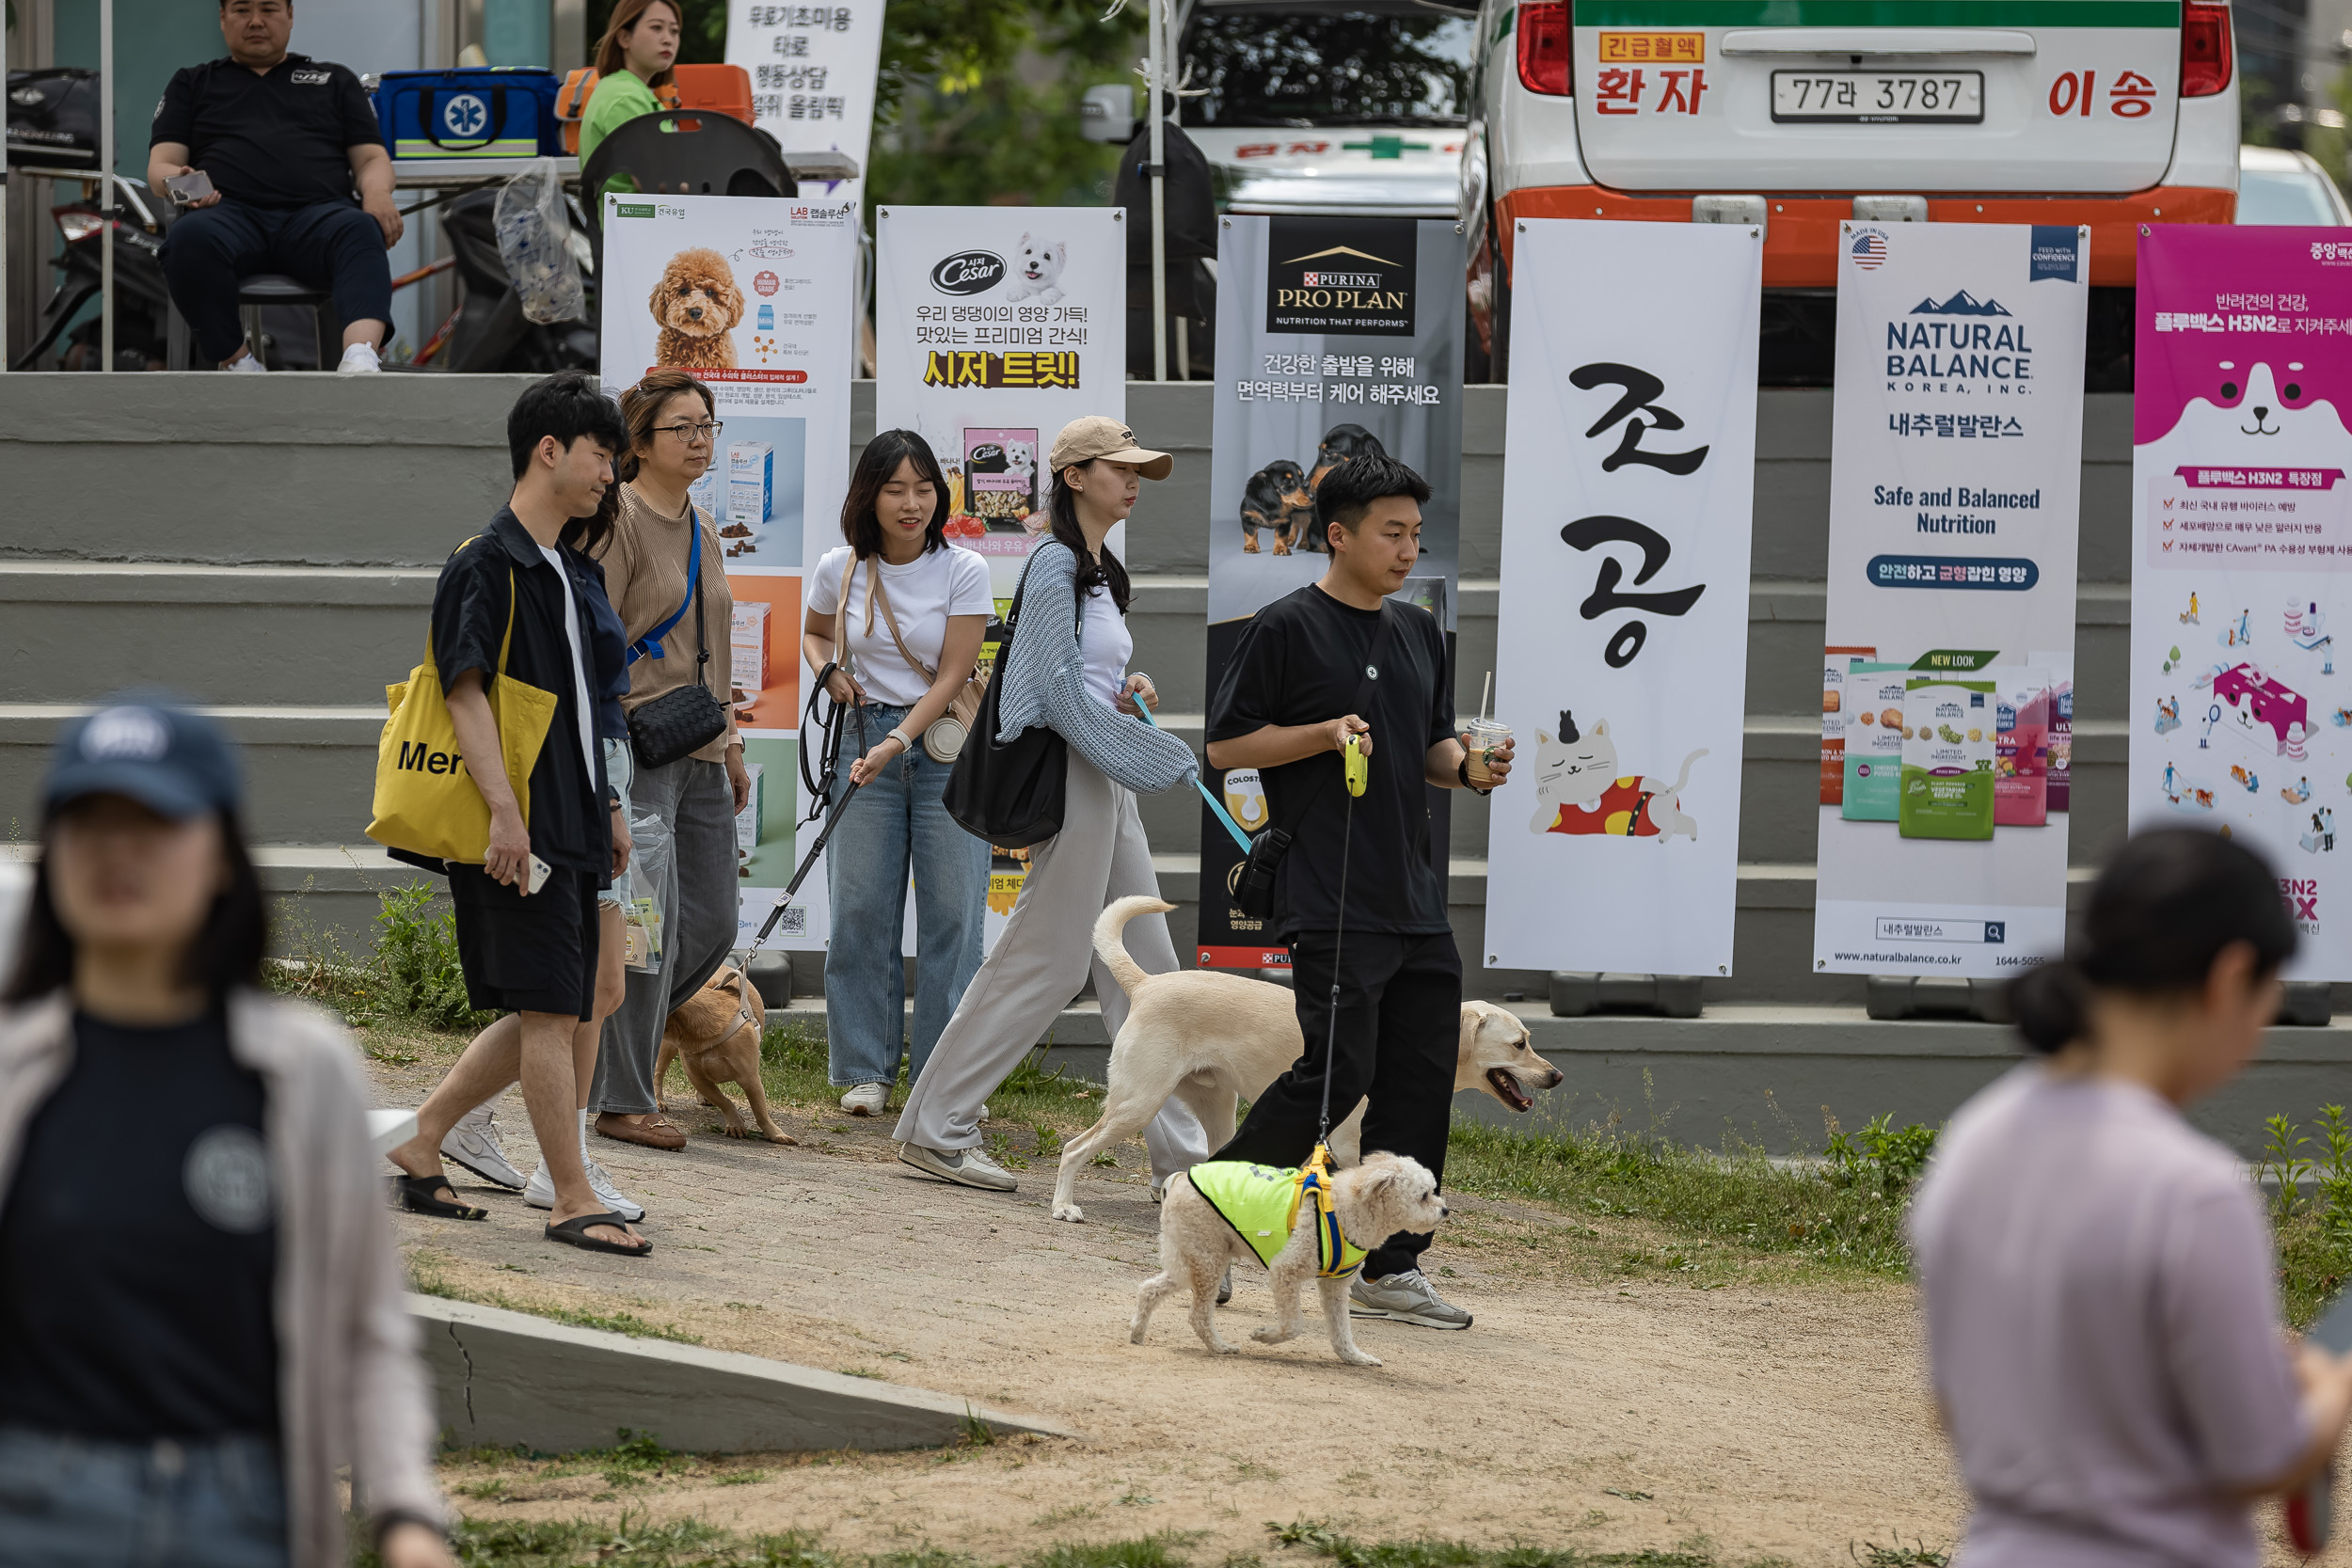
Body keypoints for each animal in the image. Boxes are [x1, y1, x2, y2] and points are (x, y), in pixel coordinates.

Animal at [654, 968, 790, 1142]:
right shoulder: (698, 1078)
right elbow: (725, 1101)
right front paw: (735, 1123)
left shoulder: (751, 1078)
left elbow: (760, 1110)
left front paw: (775, 1133)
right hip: (667, 1048)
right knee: (659, 1073)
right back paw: (659, 1101)